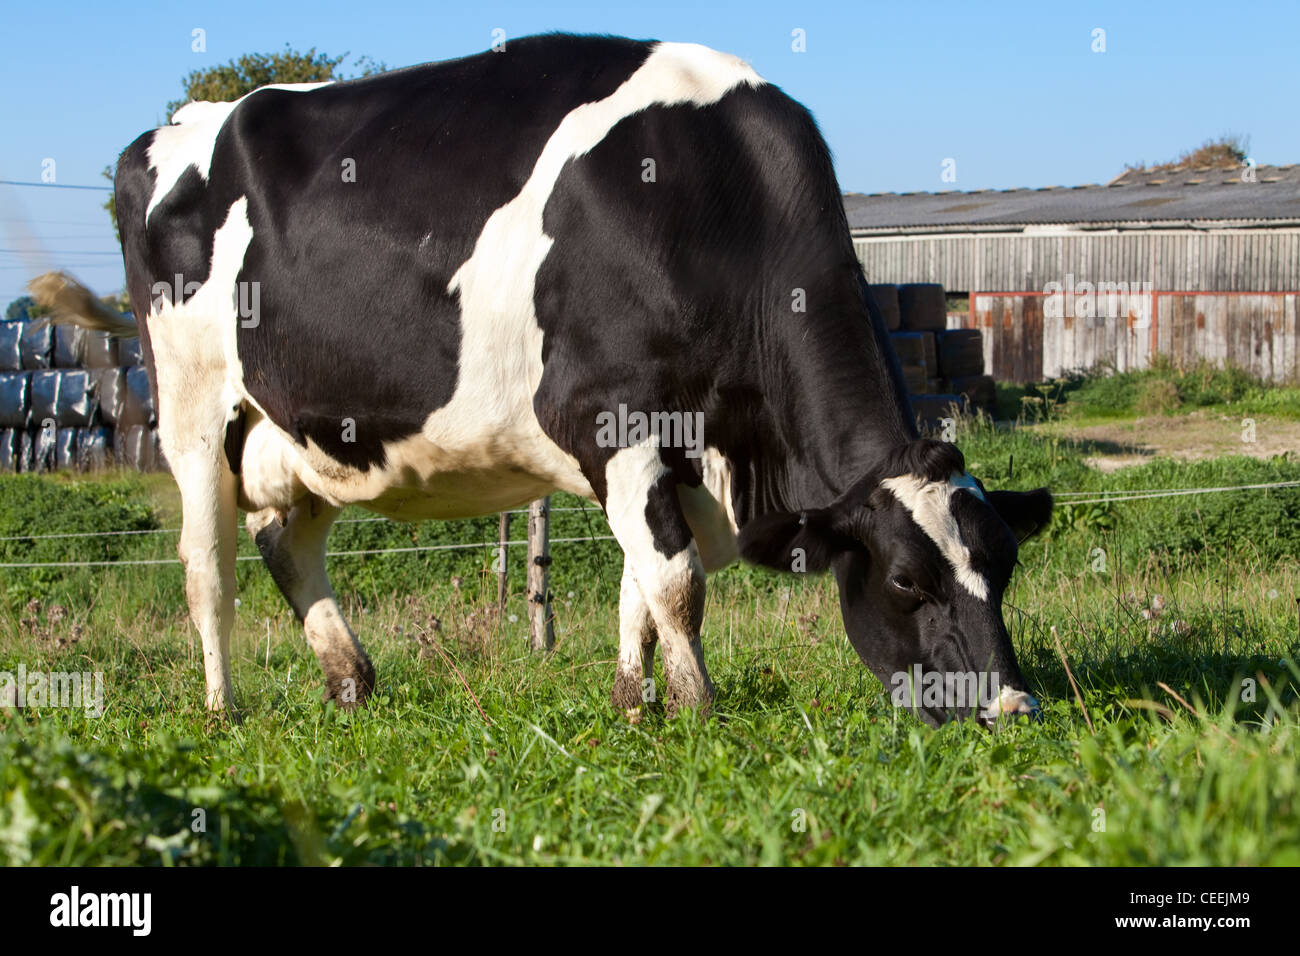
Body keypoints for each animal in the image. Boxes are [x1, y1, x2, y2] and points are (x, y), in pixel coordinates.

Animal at [30, 33, 1050, 728]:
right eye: (909, 580)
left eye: (1003, 563)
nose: (1013, 708)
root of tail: (178, 127)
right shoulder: (610, 417)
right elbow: (676, 581)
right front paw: (702, 707)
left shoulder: (668, 450)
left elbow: (641, 581)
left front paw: (637, 702)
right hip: (193, 408)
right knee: (207, 563)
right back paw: (223, 707)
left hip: (308, 427)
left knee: (287, 541)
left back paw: (350, 678)